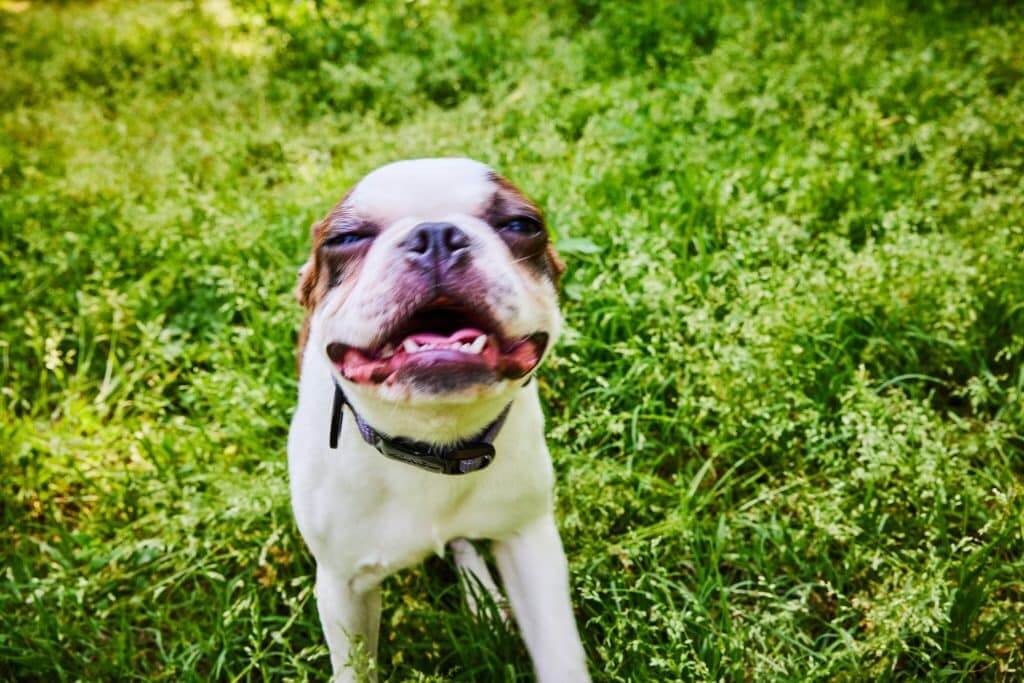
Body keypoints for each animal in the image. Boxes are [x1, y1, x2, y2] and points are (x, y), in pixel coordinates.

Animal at [288, 157, 593, 679]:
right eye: (344, 238)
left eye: (522, 225)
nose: (434, 235)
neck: (431, 442)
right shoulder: (342, 589)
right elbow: (355, 667)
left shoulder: (531, 543)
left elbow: (561, 656)